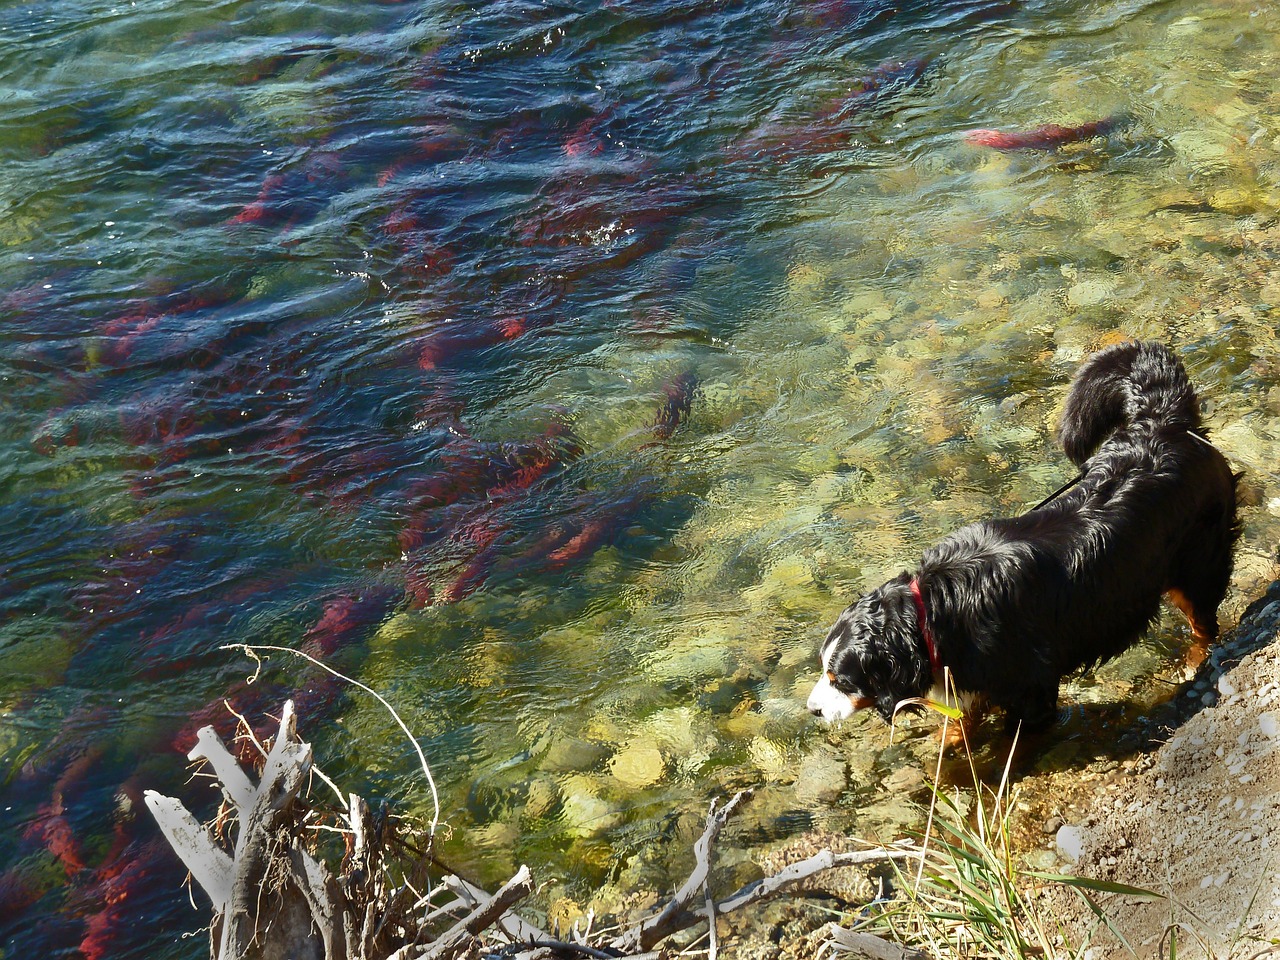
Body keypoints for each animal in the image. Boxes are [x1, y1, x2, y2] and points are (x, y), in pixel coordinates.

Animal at [808, 343, 1239, 732]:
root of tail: (1161, 423)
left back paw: (1194, 661)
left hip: (1198, 564)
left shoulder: (1030, 687)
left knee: (1204, 620)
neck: (932, 616)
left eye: (840, 680)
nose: (812, 709)